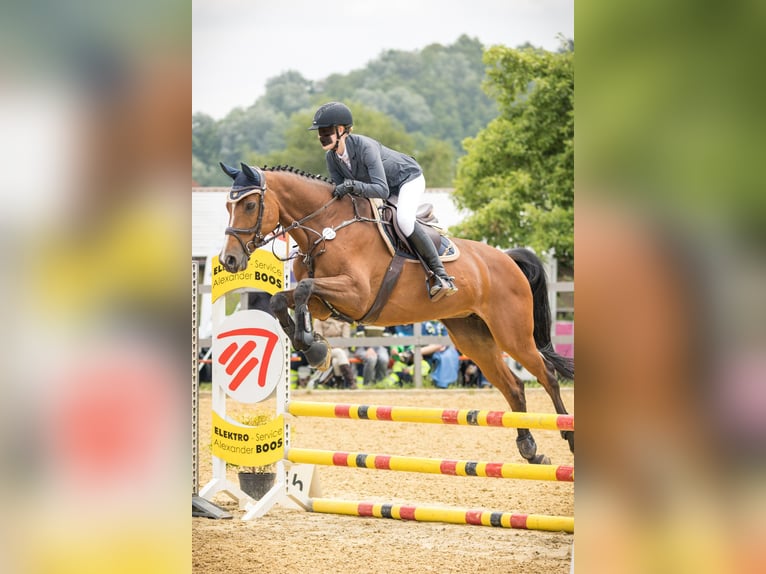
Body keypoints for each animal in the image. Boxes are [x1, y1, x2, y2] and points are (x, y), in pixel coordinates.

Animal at [218, 162, 574, 464]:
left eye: (249, 205)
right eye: (228, 206)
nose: (229, 260)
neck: (327, 228)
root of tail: (508, 258)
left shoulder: (356, 294)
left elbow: (304, 288)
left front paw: (312, 345)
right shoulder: (326, 301)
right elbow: (283, 299)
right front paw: (313, 346)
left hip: (512, 334)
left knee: (546, 374)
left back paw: (567, 435)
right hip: (472, 337)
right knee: (513, 386)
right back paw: (529, 449)